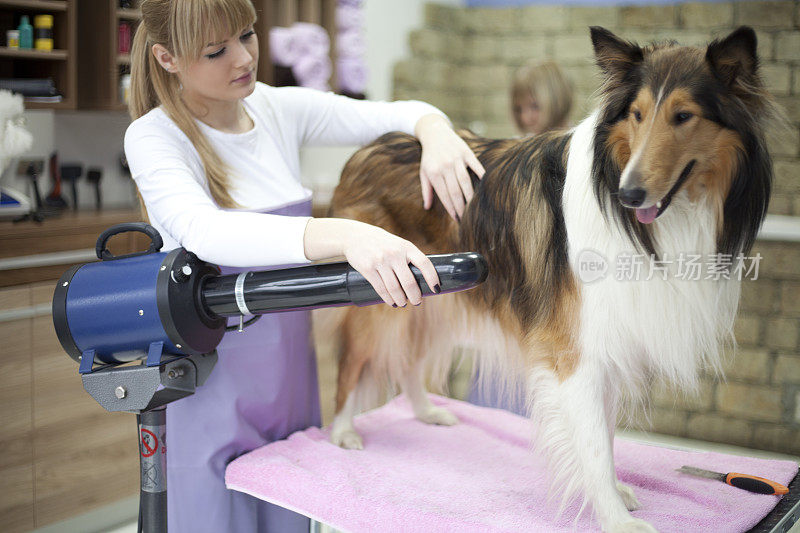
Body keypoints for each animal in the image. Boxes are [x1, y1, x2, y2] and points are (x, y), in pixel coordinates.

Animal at [320, 26, 776, 532]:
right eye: (636, 114)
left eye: (683, 116)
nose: (629, 193)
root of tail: (364, 150)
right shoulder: (574, 349)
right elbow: (594, 444)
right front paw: (615, 518)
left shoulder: (605, 342)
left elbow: (605, 434)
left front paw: (615, 495)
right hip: (380, 301)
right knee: (352, 364)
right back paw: (343, 431)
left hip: (427, 296)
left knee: (407, 363)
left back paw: (427, 412)